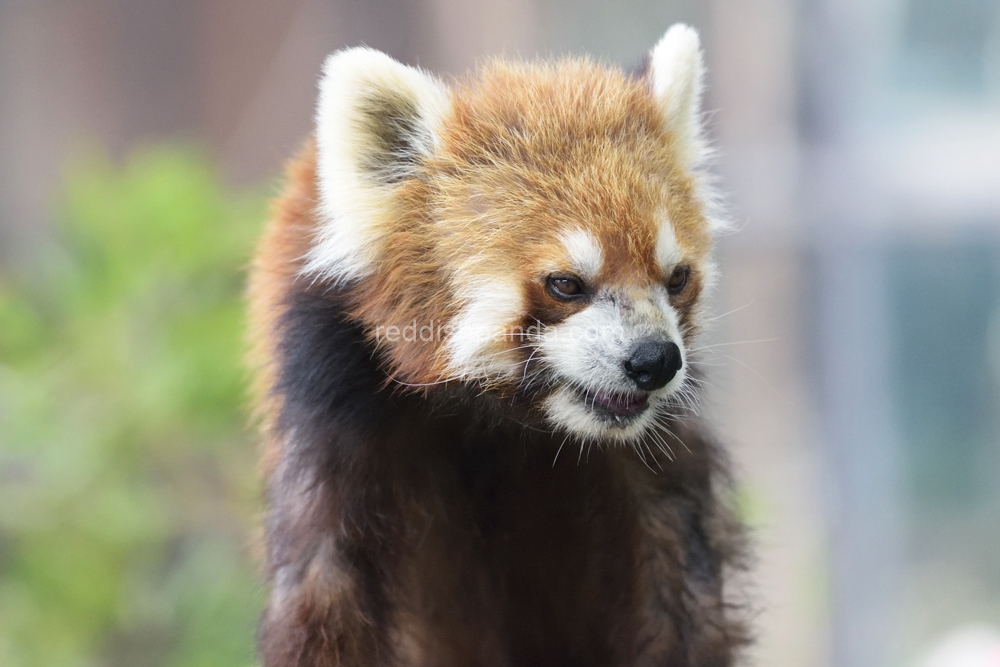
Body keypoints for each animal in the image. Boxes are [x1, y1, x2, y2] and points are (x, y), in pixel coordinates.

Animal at [248, 23, 752, 664]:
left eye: (677, 278)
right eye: (566, 284)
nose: (654, 361)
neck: (503, 417)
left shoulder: (652, 466)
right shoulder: (337, 404)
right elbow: (326, 586)